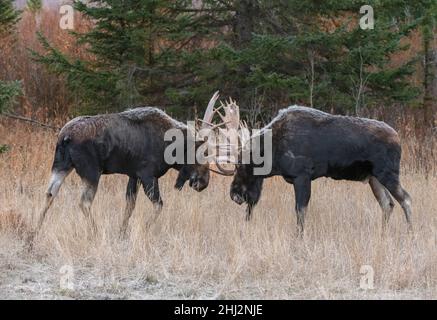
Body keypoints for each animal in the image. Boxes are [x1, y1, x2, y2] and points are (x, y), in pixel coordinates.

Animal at [34, 92, 232, 238]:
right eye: (203, 153)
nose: (204, 182)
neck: (171, 147)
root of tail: (64, 137)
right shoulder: (147, 175)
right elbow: (158, 205)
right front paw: (144, 229)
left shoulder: (133, 175)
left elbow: (129, 206)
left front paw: (122, 233)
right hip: (91, 172)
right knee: (84, 202)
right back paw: (95, 232)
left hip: (61, 166)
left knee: (49, 193)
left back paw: (33, 233)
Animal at [225, 105, 412, 235]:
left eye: (240, 165)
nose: (234, 194)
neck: (273, 152)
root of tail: (398, 139)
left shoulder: (302, 176)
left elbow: (300, 211)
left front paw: (299, 238)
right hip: (374, 178)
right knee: (387, 204)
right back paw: (383, 234)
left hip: (388, 173)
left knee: (406, 199)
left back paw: (410, 233)